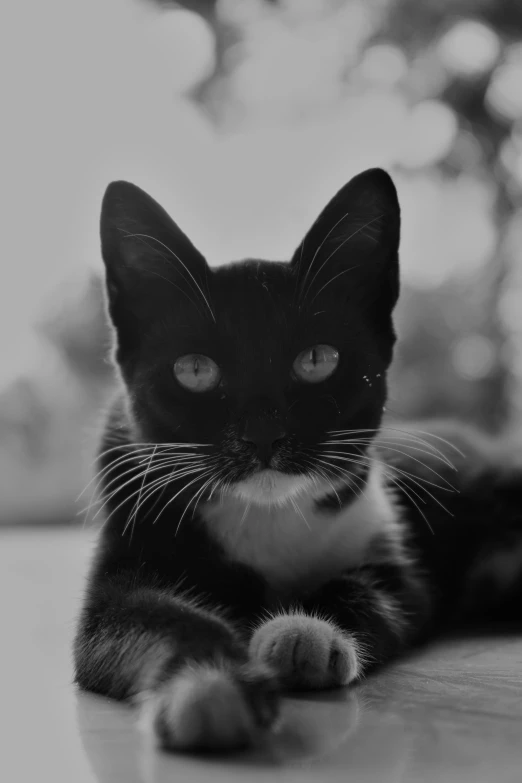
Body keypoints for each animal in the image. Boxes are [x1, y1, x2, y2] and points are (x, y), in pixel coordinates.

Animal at [72, 170, 520, 752]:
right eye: (194, 369)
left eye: (317, 359)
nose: (264, 434)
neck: (267, 516)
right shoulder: (117, 574)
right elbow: (143, 617)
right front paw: (212, 684)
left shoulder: (400, 566)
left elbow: (369, 591)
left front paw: (303, 631)